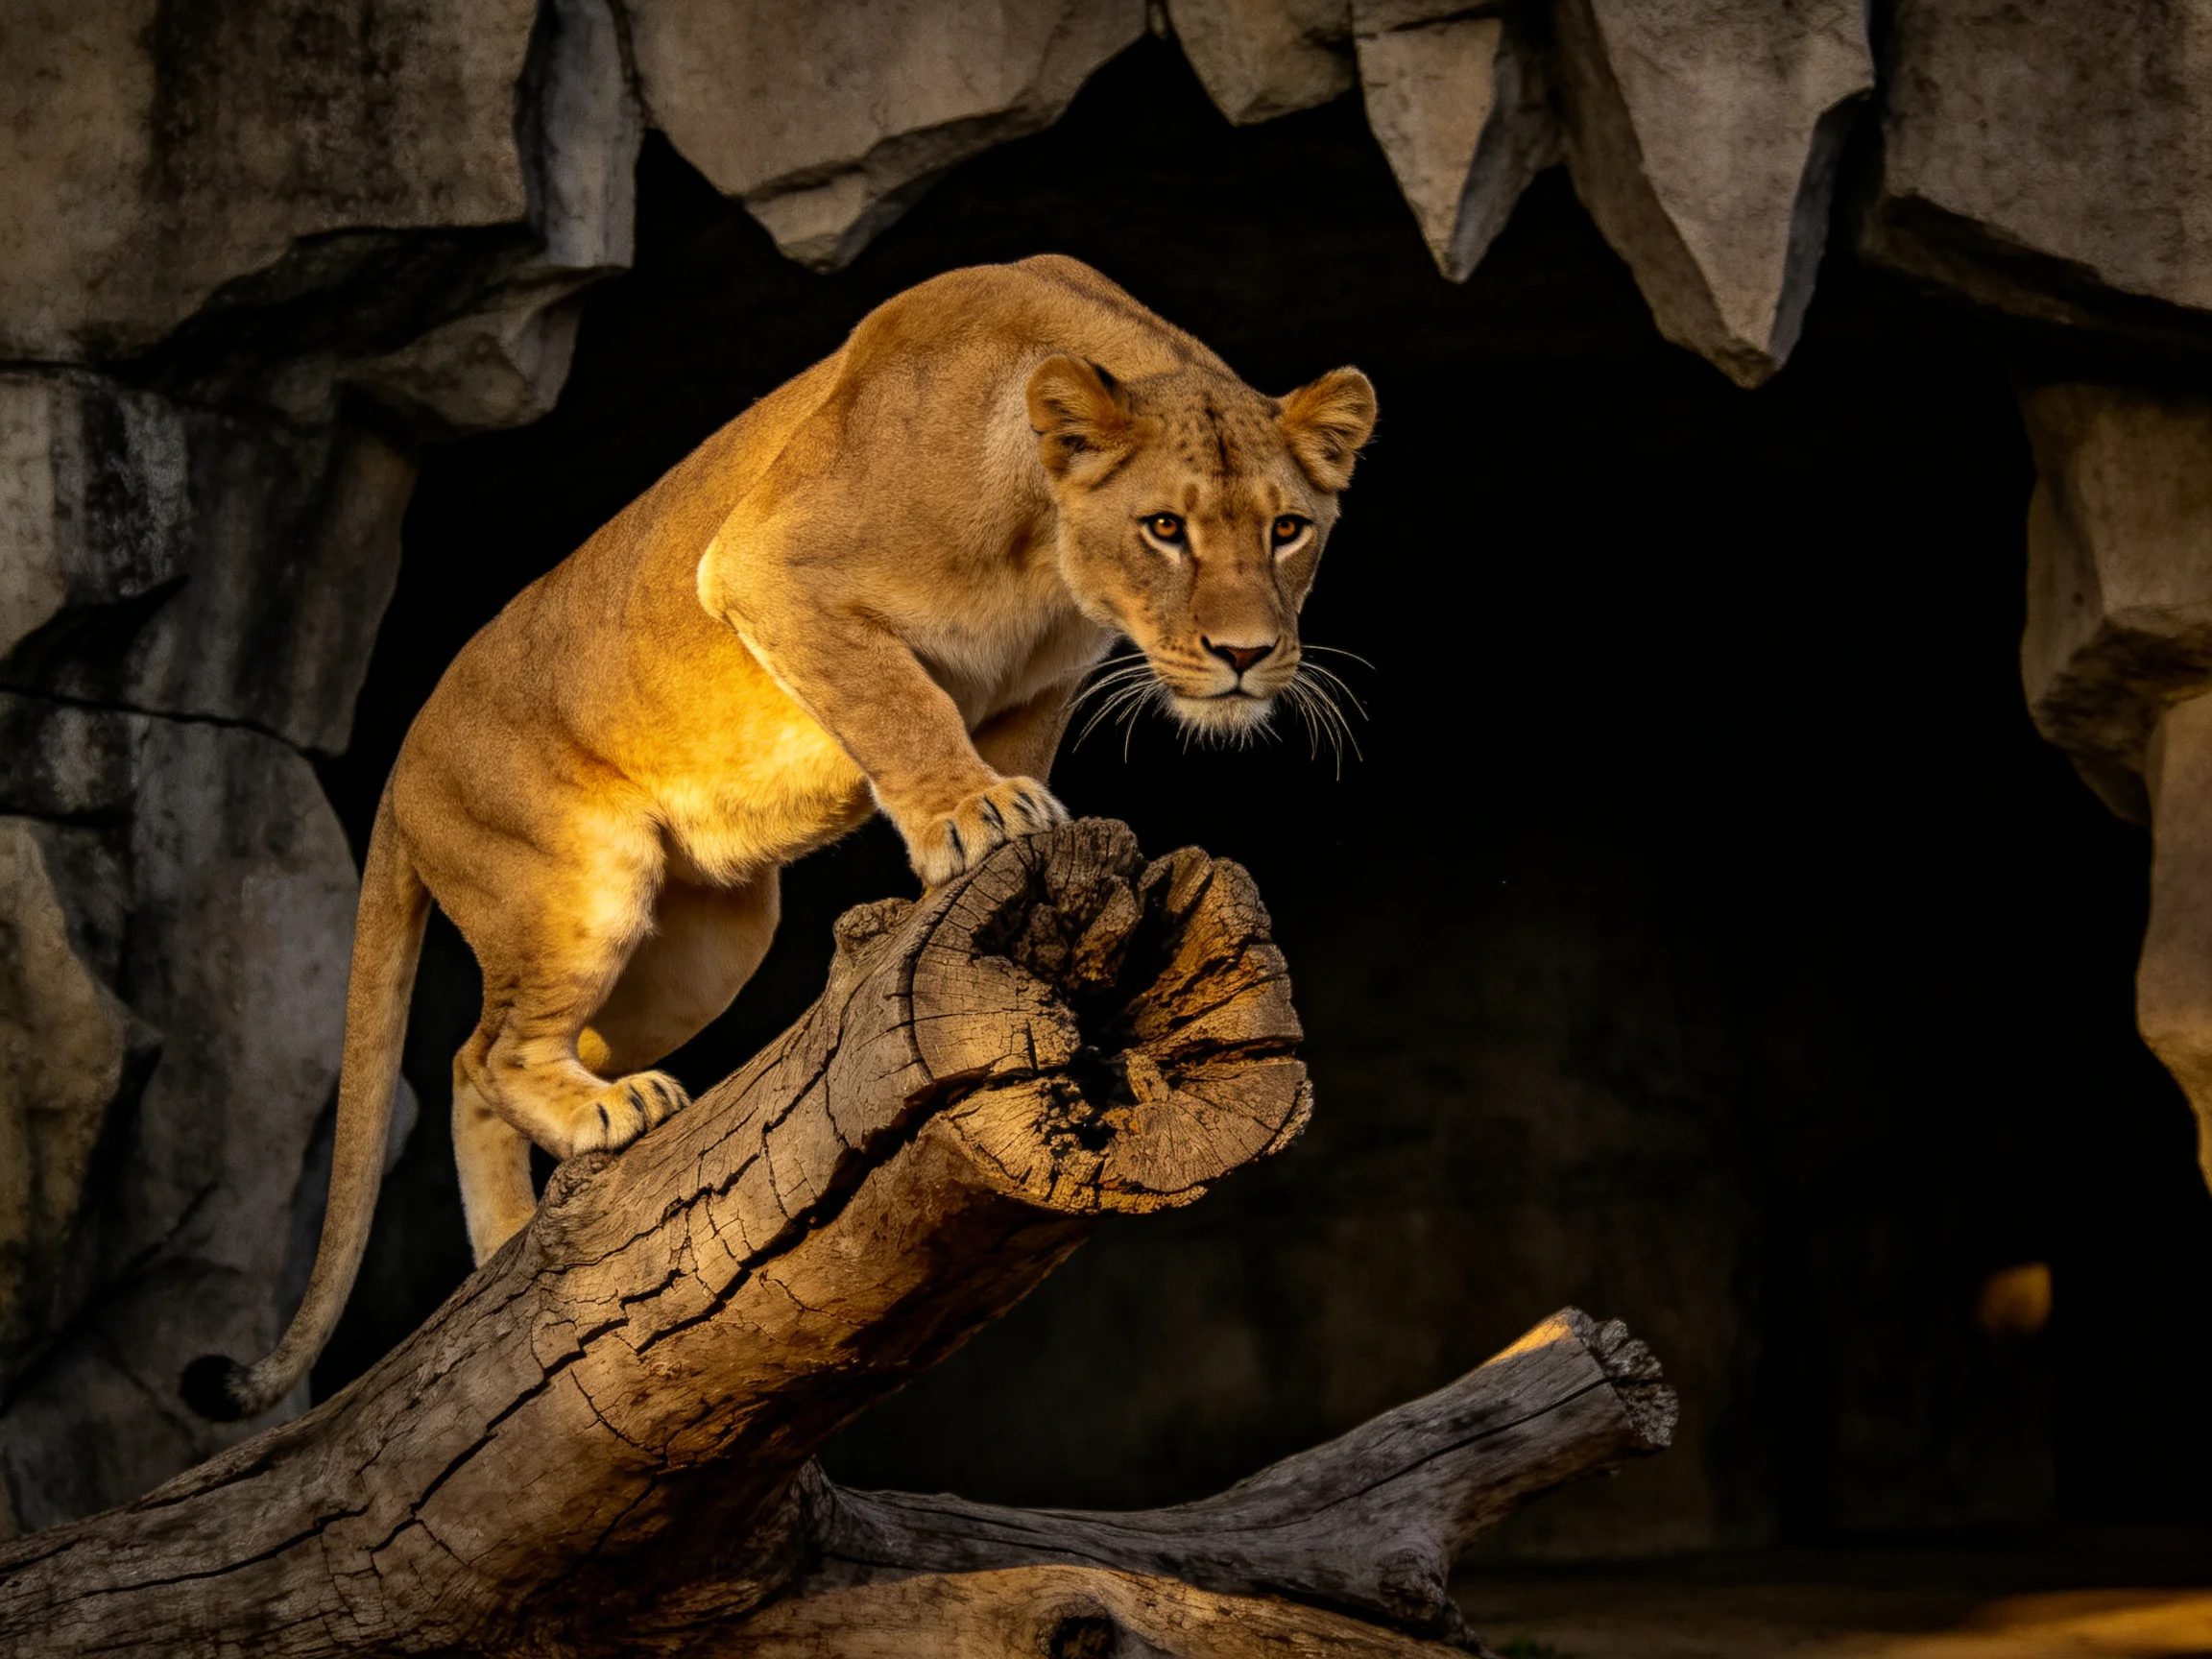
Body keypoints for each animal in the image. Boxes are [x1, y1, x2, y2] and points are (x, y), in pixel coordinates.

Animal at [183, 255, 1376, 1421]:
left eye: (1288, 529)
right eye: (1164, 528)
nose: (1244, 655)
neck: (1041, 543)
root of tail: (400, 763)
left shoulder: (1038, 685)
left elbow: (997, 744)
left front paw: (992, 838)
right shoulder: (766, 569)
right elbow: (903, 703)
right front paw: (976, 818)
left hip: (709, 950)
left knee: (475, 1070)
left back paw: (518, 1238)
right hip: (579, 885)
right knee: (486, 1049)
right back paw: (602, 1122)